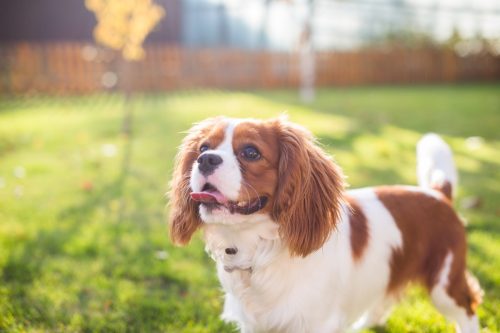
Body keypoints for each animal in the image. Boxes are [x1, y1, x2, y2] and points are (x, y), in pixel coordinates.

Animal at [170, 116, 482, 332]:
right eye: (203, 147)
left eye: (250, 152)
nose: (205, 159)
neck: (258, 249)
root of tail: (439, 194)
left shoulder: (315, 322)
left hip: (445, 284)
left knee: (468, 309)